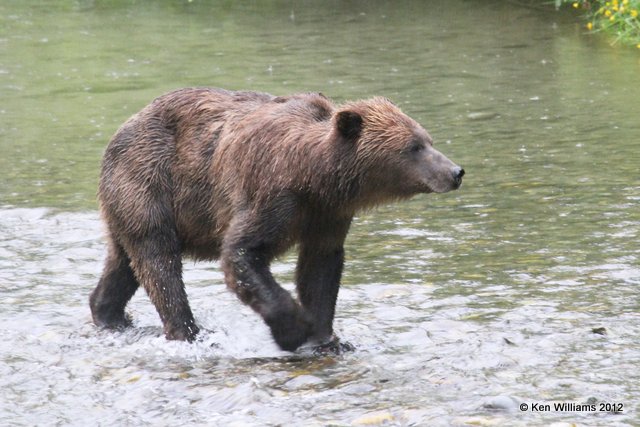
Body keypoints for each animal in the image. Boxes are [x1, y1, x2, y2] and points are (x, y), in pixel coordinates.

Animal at [90, 88, 462, 352]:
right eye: (413, 147)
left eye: (427, 140)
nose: (455, 171)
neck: (315, 177)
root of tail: (119, 131)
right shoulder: (271, 195)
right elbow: (242, 252)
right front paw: (294, 330)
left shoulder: (328, 215)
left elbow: (320, 269)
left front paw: (328, 338)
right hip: (149, 182)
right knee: (159, 261)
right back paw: (189, 332)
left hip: (130, 205)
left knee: (125, 263)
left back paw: (110, 314)